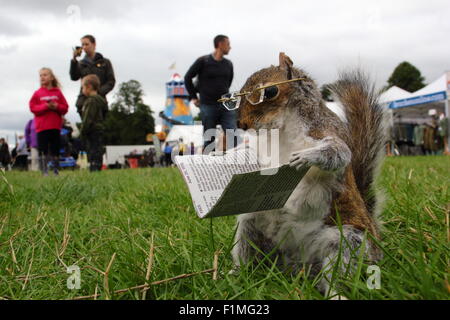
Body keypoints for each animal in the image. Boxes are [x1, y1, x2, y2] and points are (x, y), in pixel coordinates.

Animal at [232, 52, 386, 298]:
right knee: (249, 253)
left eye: (270, 92)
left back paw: (336, 293)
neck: (282, 129)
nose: (241, 124)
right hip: (251, 228)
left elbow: (339, 153)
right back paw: (236, 275)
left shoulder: (325, 132)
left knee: (338, 272)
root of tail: (297, 266)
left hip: (348, 242)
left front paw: (307, 157)